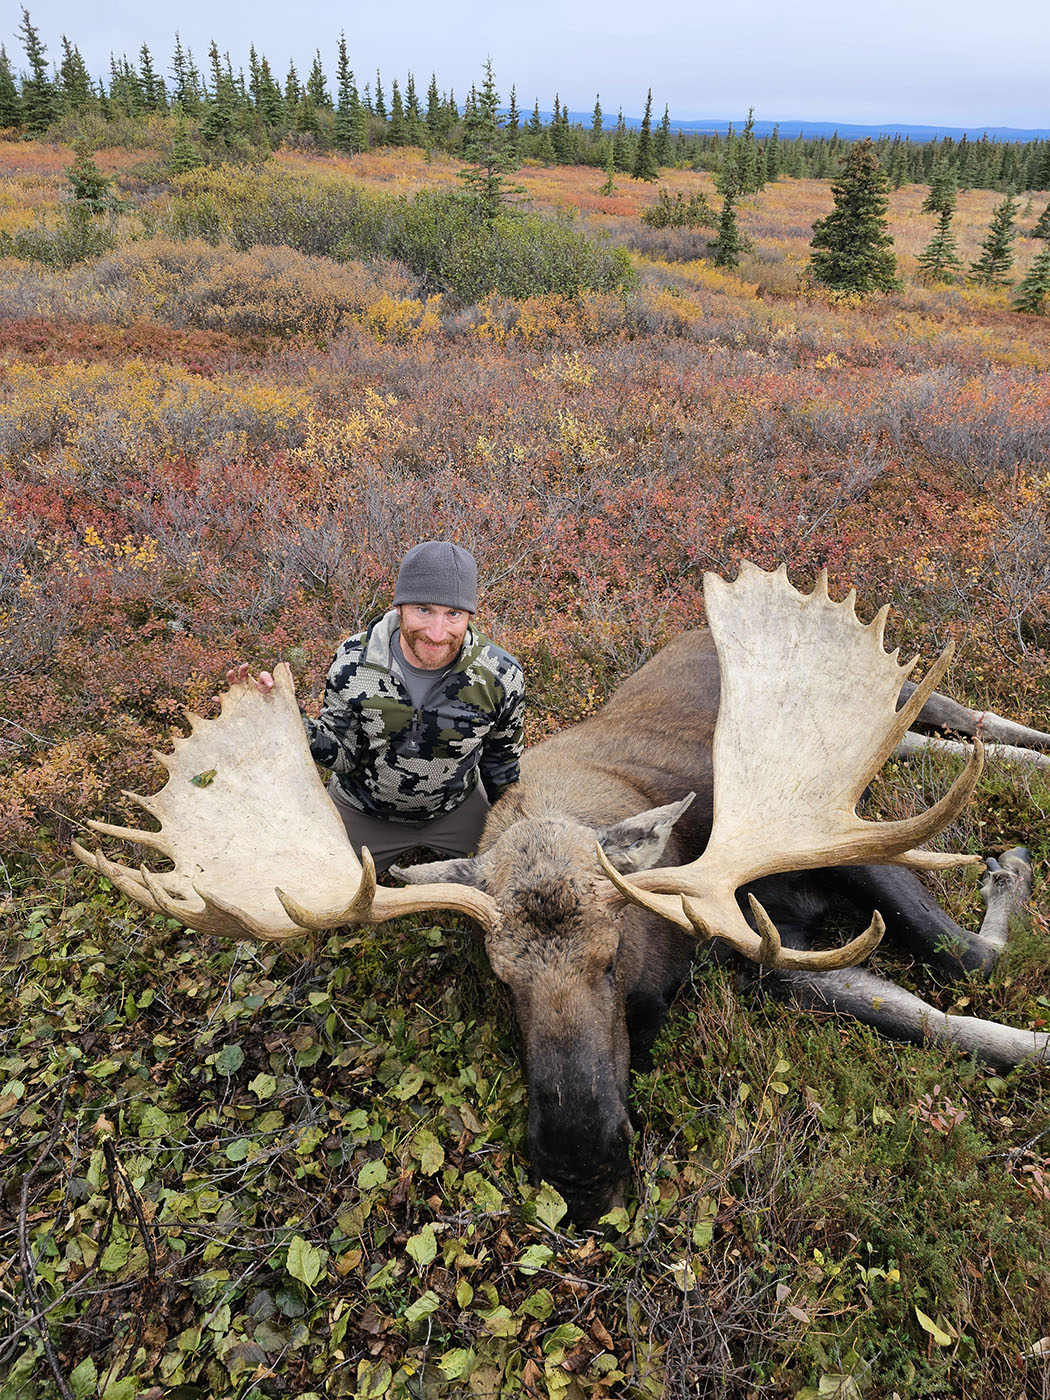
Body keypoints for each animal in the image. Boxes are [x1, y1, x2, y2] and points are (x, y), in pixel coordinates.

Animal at [78, 565, 1050, 1226]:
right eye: (500, 981)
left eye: (616, 955)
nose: (581, 1168)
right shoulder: (768, 955)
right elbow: (938, 1021)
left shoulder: (850, 843)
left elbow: (968, 957)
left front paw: (1010, 865)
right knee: (936, 743)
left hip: (902, 692)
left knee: (979, 722)